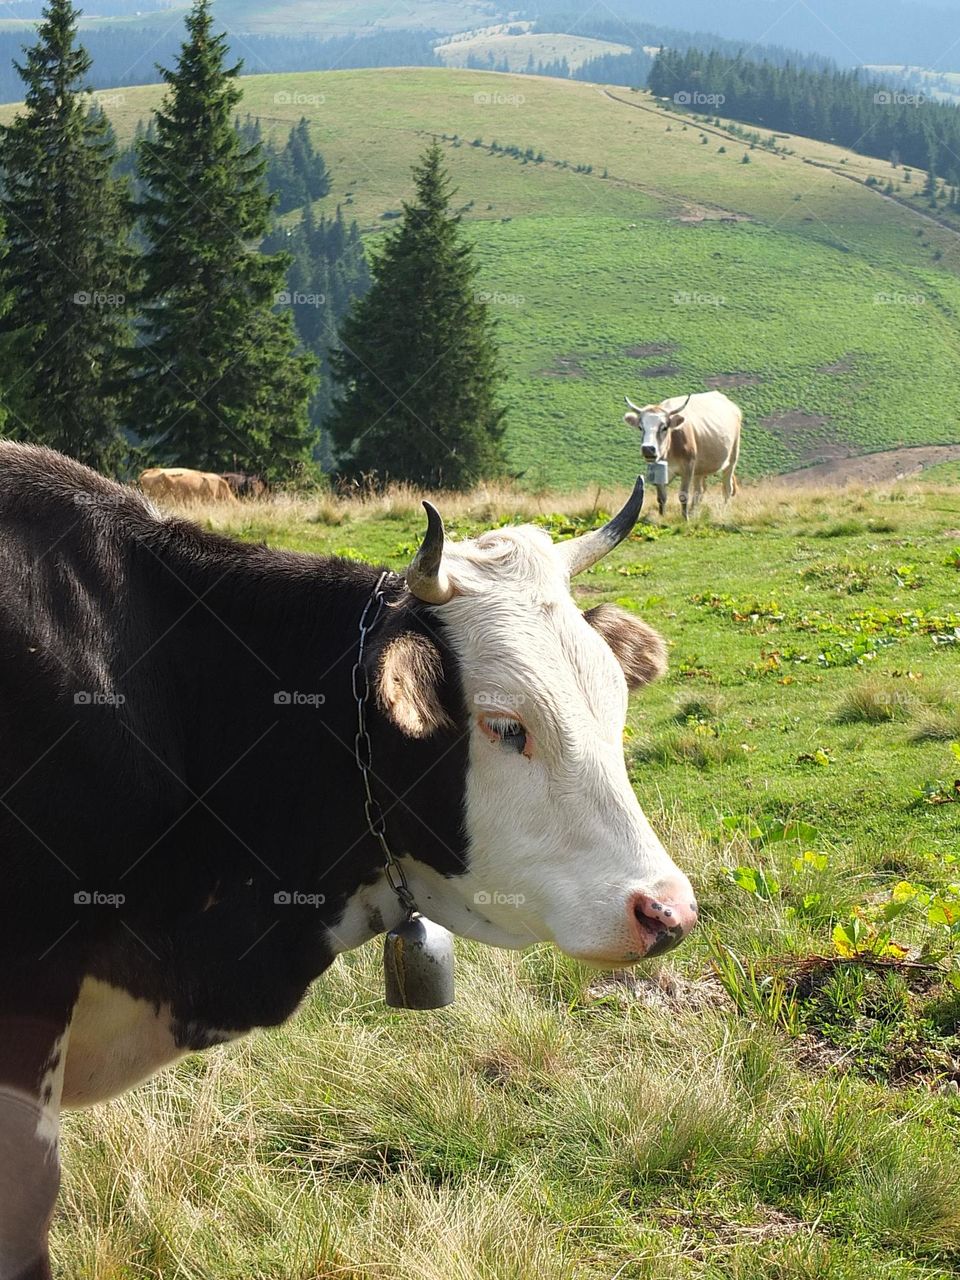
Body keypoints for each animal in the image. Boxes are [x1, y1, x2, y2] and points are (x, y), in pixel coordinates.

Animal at [623, 390, 742, 520]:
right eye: (641, 427)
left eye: (664, 427)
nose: (648, 449)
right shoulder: (658, 471)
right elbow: (661, 497)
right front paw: (662, 517)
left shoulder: (687, 468)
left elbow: (683, 496)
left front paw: (685, 519)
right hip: (700, 468)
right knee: (699, 491)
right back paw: (694, 512)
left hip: (732, 459)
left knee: (727, 488)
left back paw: (723, 512)